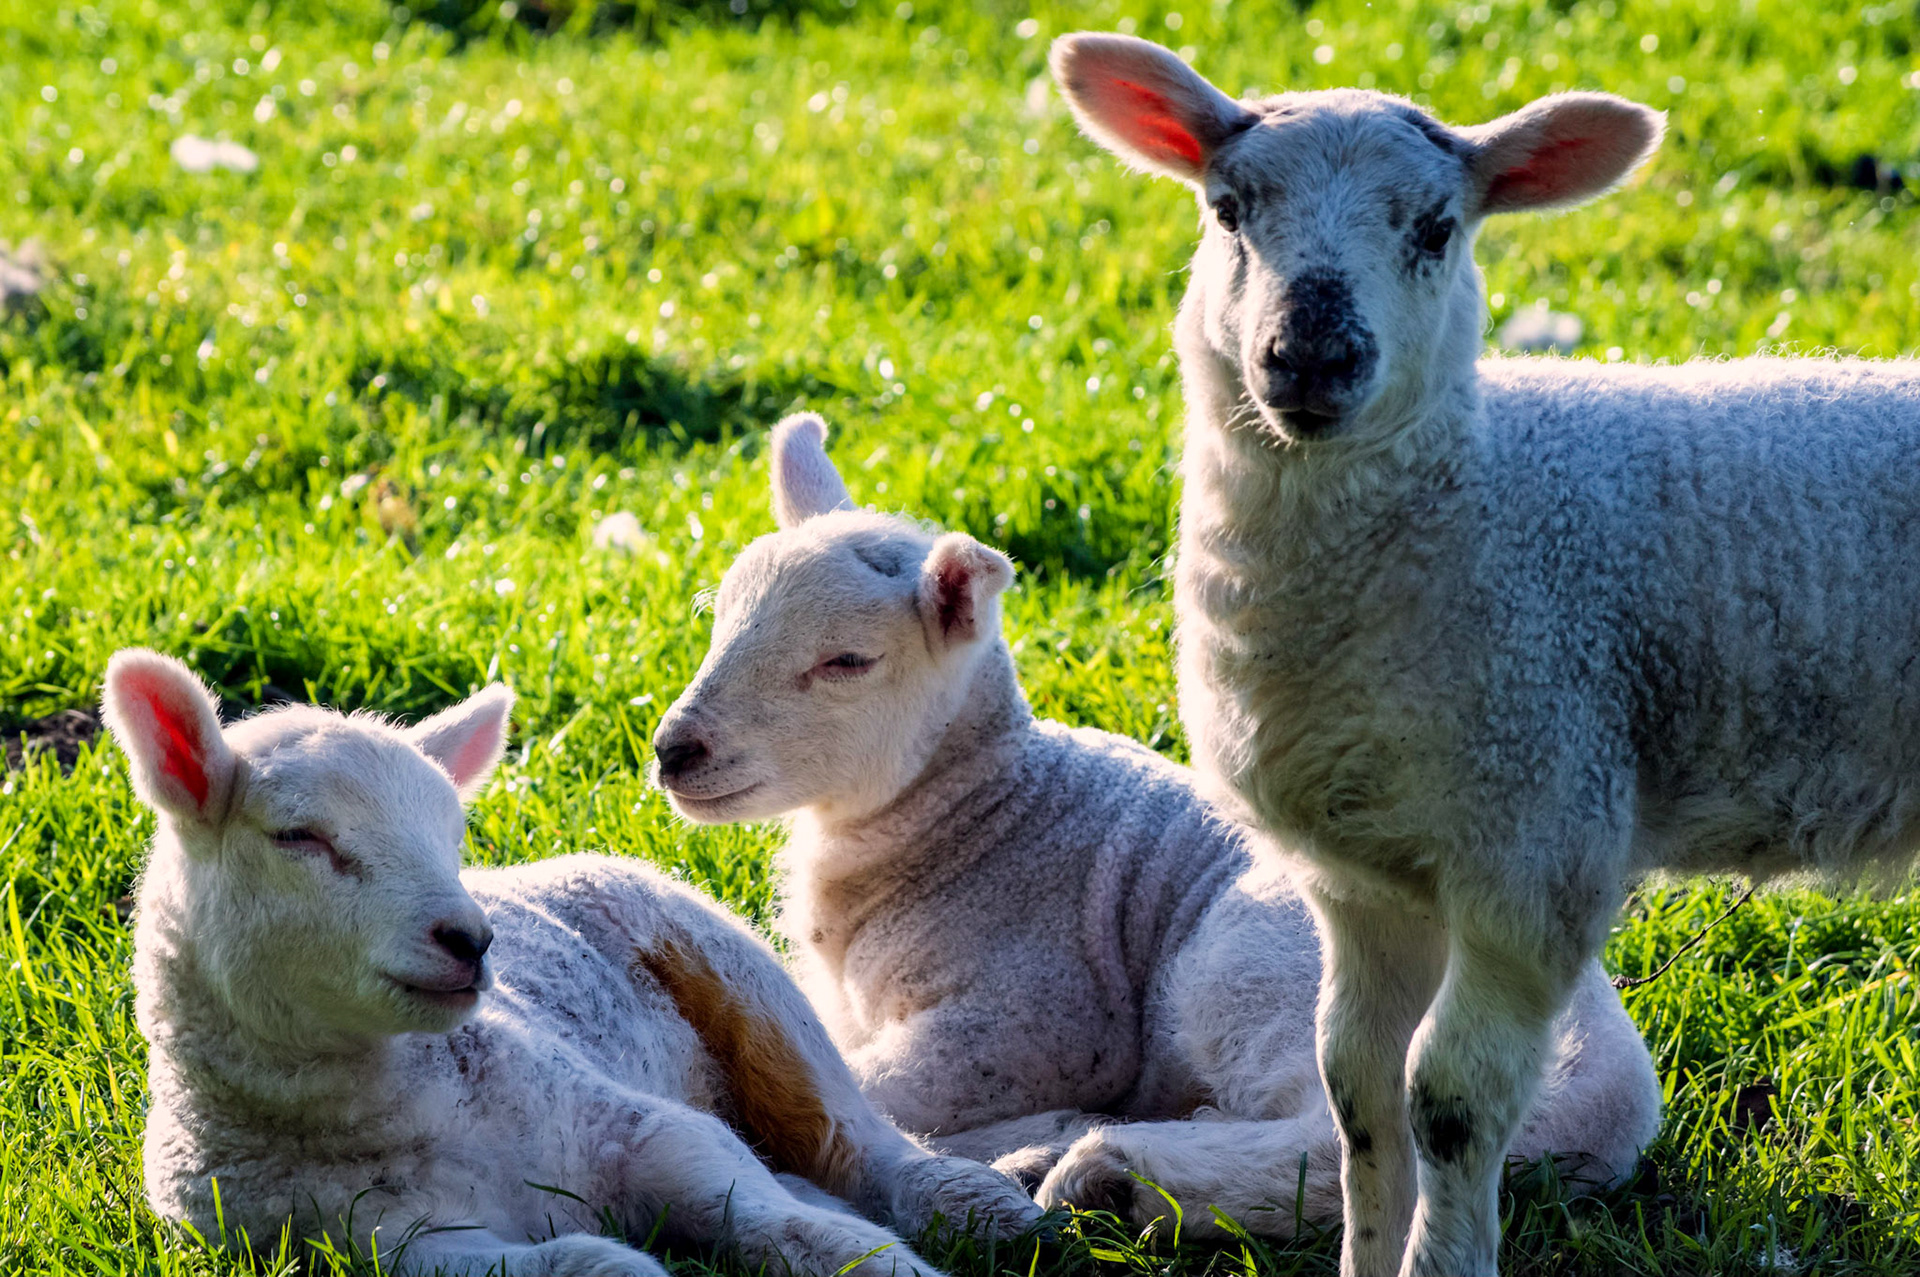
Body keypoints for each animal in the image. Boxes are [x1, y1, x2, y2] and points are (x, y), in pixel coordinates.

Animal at [101, 648, 1038, 1277]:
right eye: (298, 837)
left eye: (451, 832)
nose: (471, 939)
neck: (403, 1117)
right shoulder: (381, 1246)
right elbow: (590, 1261)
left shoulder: (634, 1125)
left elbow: (768, 1210)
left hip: (739, 974)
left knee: (848, 1133)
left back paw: (974, 1204)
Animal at [646, 414, 1661, 1239]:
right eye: (718, 621)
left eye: (847, 662)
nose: (673, 748)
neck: (976, 812)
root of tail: (1600, 1096)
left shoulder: (1036, 1018)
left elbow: (857, 1085)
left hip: (1249, 959)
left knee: (1336, 1137)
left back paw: (1111, 1172)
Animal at [1047, 31, 1920, 1277]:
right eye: (1228, 208)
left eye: (1435, 228)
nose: (1311, 354)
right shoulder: (1361, 875)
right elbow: (1356, 1087)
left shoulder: (1537, 840)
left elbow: (1448, 1099)